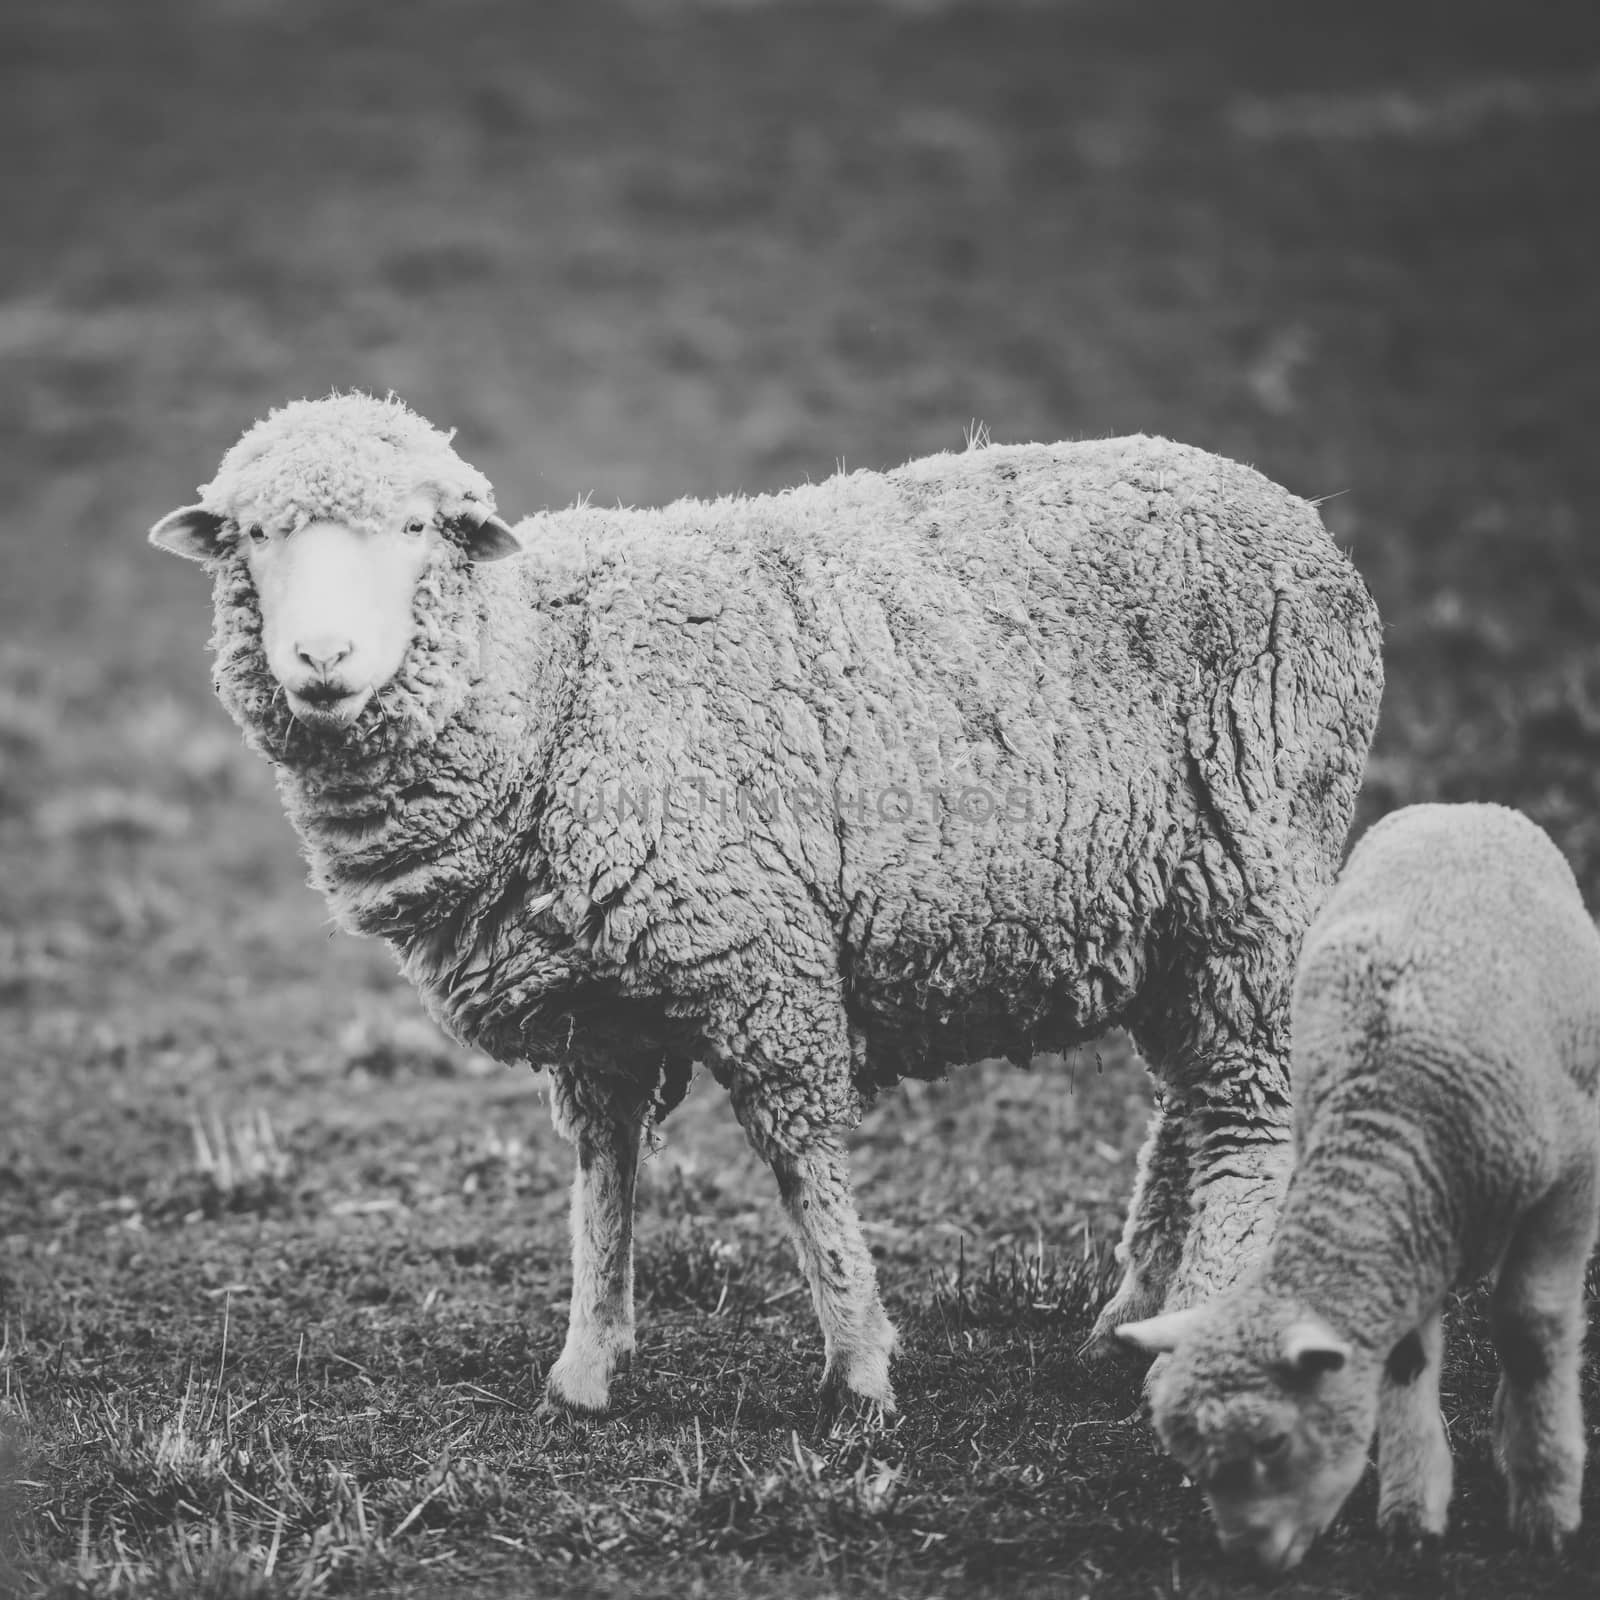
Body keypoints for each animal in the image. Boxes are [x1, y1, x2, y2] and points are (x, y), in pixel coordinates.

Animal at [144, 393, 1382, 1420]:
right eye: (252, 535)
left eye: (415, 530)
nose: (322, 658)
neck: (551, 682)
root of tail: (1300, 523)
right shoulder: (593, 1010)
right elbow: (602, 1174)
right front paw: (587, 1365)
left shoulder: (759, 963)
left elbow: (801, 1163)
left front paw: (859, 1369)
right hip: (1173, 906)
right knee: (1190, 1102)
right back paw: (1129, 1318)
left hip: (1256, 870)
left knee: (1249, 1119)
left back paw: (1188, 1333)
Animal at [1120, 806, 1600, 1568]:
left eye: (1272, 1442)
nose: (1248, 1560)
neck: (1394, 1128)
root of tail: (1454, 808)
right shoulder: (1407, 1241)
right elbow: (1406, 1358)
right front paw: (1411, 1513)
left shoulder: (1568, 1189)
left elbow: (1531, 1329)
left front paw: (1546, 1509)